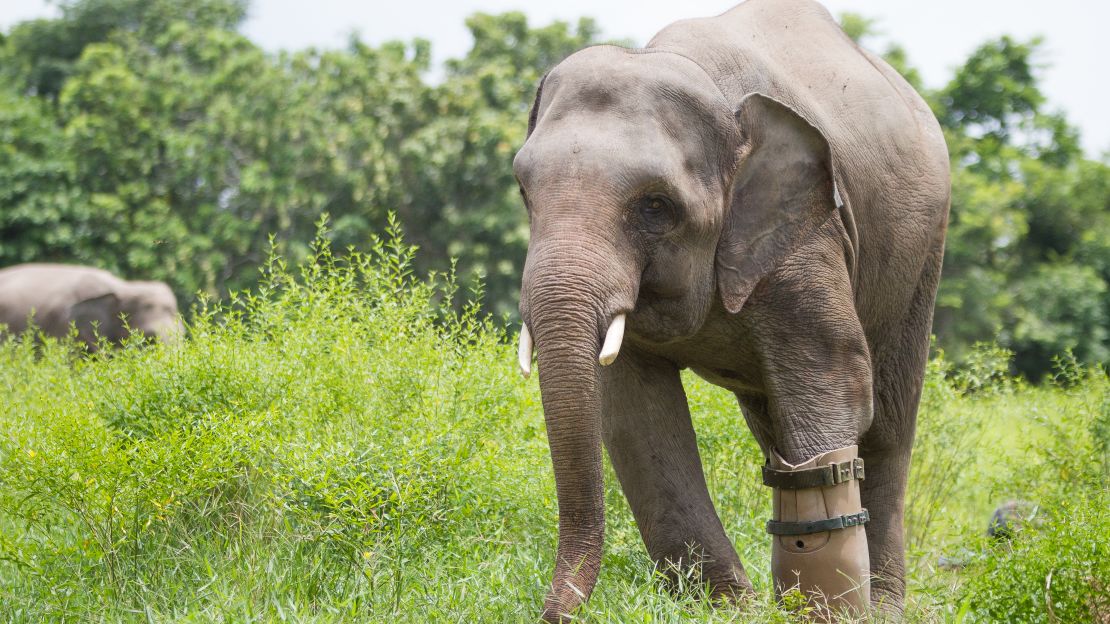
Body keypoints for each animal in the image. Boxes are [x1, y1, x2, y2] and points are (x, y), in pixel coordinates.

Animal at [515, 0, 950, 617]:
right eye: (524, 191)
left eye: (656, 206)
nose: (552, 615)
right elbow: (636, 416)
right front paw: (732, 611)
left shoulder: (806, 233)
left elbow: (835, 386)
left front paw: (825, 614)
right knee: (776, 434)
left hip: (922, 253)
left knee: (887, 428)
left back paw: (884, 607)